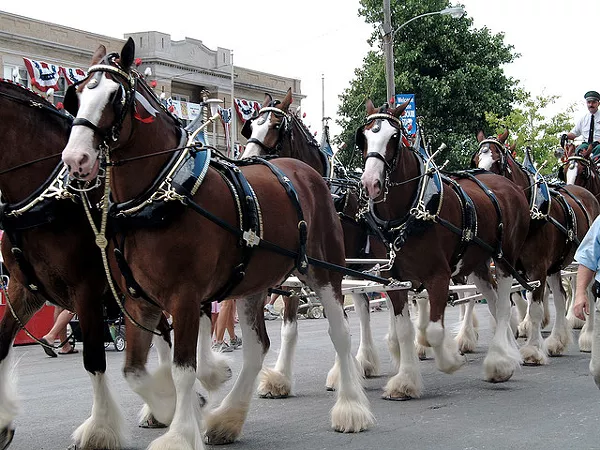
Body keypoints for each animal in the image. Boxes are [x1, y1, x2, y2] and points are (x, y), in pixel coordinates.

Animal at [58, 37, 372, 446]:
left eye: (115, 96)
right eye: (76, 95)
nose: (75, 158)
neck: (162, 195)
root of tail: (305, 173)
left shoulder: (185, 297)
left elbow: (183, 369)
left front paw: (178, 431)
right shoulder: (138, 300)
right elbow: (134, 371)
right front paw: (169, 407)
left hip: (325, 272)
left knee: (341, 332)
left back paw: (351, 405)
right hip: (254, 283)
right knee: (257, 348)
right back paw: (228, 418)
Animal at [241, 89, 424, 400]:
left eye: (277, 127)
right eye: (251, 126)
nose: (247, 162)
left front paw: (343, 375)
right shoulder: (298, 269)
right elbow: (290, 327)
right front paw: (280, 378)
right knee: (366, 305)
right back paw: (367, 360)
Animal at [358, 99, 532, 384]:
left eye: (393, 137)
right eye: (363, 137)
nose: (370, 183)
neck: (411, 212)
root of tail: (509, 186)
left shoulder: (438, 276)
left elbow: (433, 331)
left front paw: (451, 360)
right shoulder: (394, 280)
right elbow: (405, 330)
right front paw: (405, 380)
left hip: (504, 258)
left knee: (505, 303)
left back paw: (499, 361)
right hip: (477, 265)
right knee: (493, 300)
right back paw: (507, 352)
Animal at [474, 130, 600, 362]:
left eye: (497, 162)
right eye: (477, 159)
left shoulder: (537, 267)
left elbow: (535, 308)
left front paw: (532, 349)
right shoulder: (510, 265)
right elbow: (517, 298)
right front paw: (519, 330)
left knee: (587, 293)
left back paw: (587, 336)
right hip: (556, 263)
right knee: (560, 295)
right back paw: (558, 340)